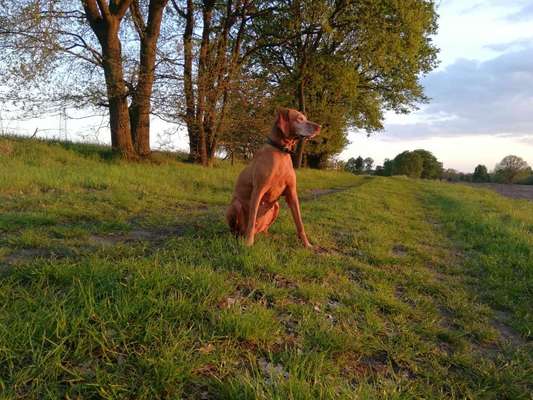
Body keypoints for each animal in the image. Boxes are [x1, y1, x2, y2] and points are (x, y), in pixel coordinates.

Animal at [225, 108, 320, 247]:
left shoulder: (292, 193)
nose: (319, 127)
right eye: (299, 119)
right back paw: (238, 237)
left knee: (263, 229)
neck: (281, 152)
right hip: (235, 205)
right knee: (237, 229)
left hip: (276, 206)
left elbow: (299, 223)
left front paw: (307, 244)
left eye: (305, 118)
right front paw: (248, 243)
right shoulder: (258, 190)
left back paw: (269, 236)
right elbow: (252, 219)